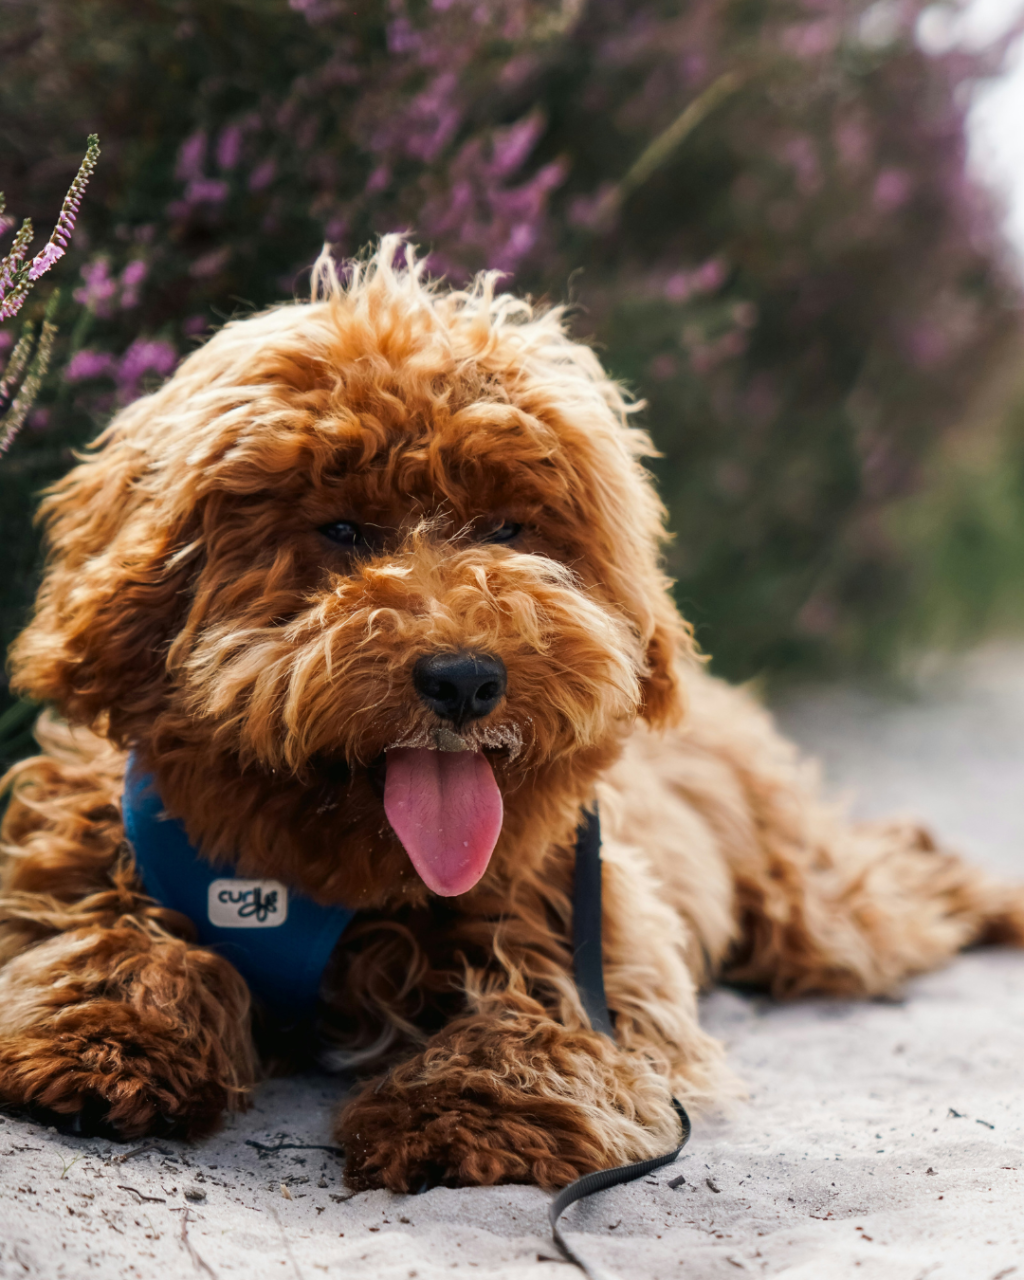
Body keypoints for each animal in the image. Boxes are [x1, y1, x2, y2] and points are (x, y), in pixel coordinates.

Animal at [2, 240, 1024, 1187]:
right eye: (341, 529)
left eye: (508, 528)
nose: (464, 680)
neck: (334, 875)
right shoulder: (88, 853)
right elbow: (109, 930)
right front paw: (106, 1035)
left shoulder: (589, 929)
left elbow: (537, 1014)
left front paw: (469, 1110)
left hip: (811, 909)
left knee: (895, 882)